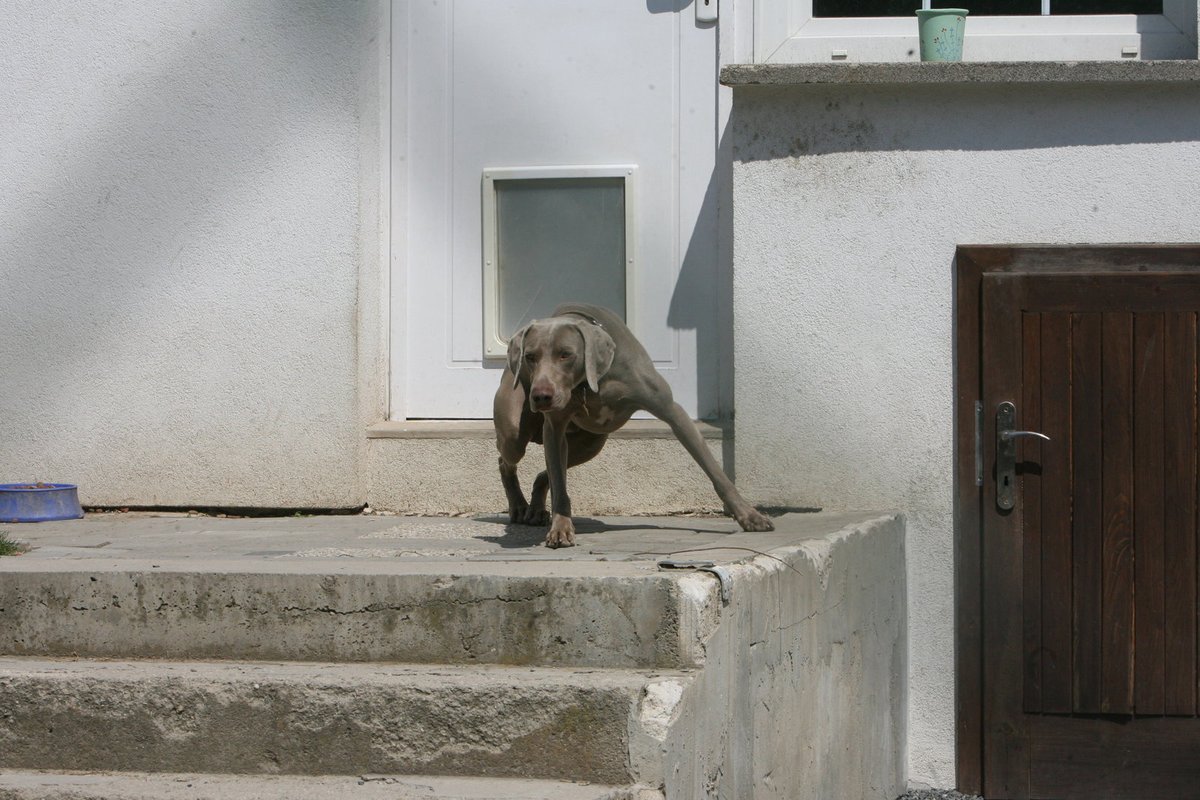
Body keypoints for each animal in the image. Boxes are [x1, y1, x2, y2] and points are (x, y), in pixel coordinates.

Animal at [492, 303, 772, 546]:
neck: (590, 385)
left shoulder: (673, 412)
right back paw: (519, 506)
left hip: (590, 445)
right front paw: (561, 529)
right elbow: (560, 486)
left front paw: (749, 515)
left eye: (565, 355)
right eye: (531, 357)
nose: (541, 396)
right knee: (508, 460)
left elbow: (714, 470)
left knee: (544, 473)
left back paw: (536, 509)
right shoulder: (554, 428)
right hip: (515, 432)